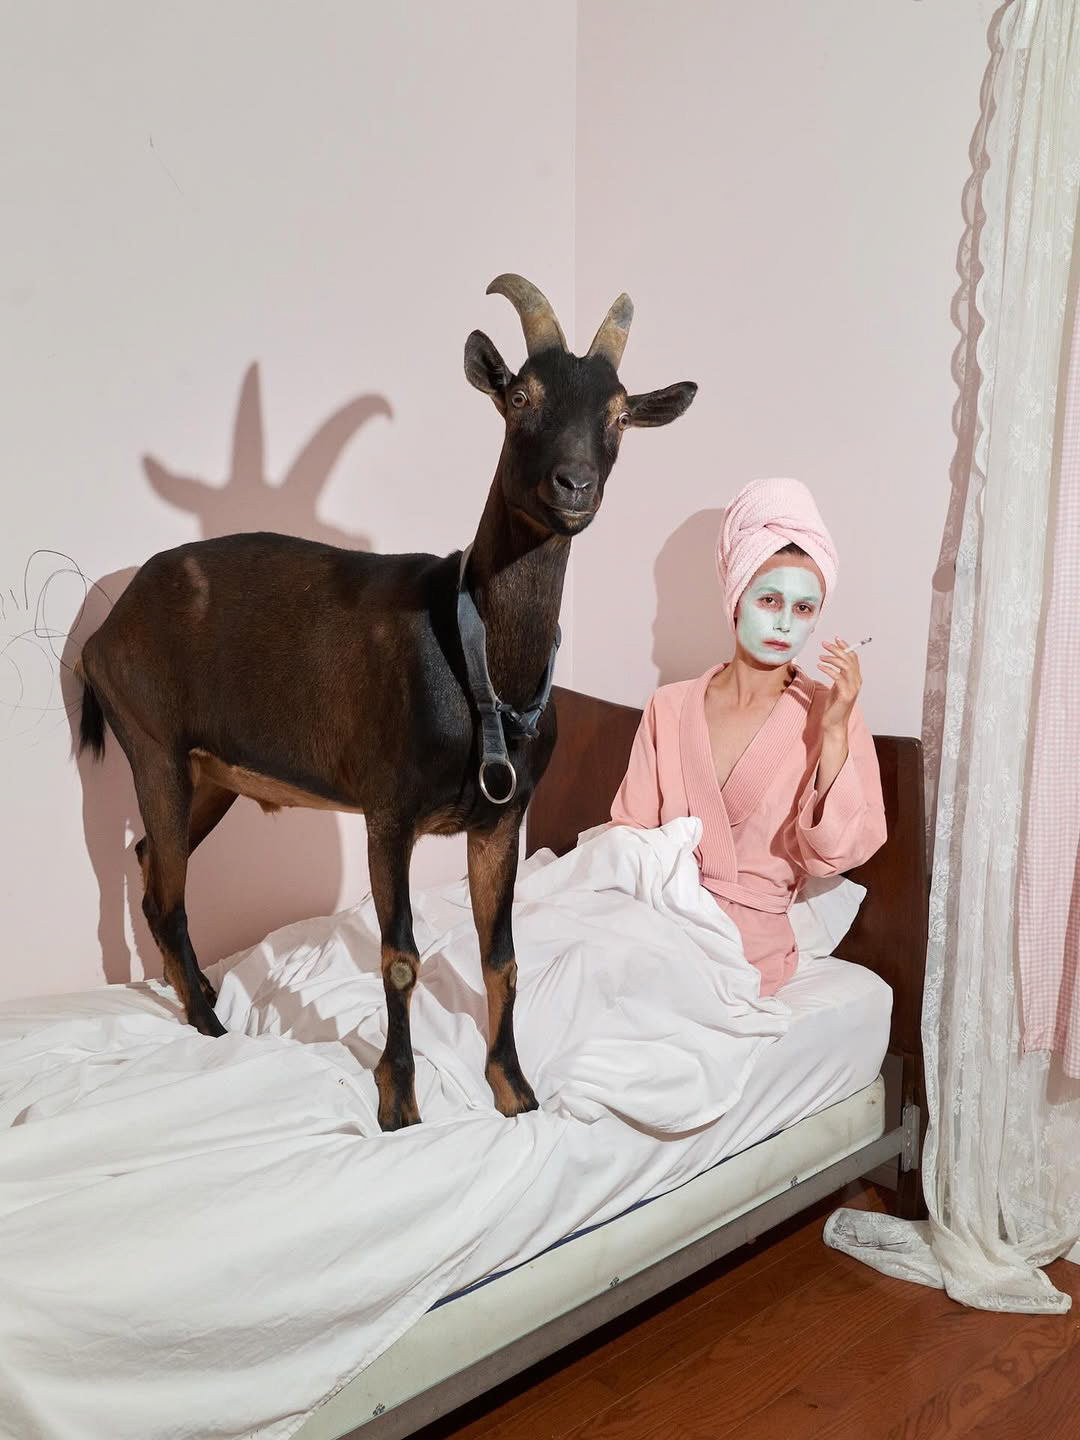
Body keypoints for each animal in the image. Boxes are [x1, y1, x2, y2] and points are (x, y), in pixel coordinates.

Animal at [75, 274, 697, 1129]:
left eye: (617, 415)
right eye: (521, 397)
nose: (574, 487)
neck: (479, 667)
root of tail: (104, 631)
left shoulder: (502, 818)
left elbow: (501, 957)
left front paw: (515, 1090)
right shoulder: (388, 811)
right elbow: (399, 956)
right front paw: (399, 1100)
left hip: (211, 773)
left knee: (148, 863)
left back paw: (198, 990)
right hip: (153, 746)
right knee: (167, 890)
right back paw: (209, 1023)